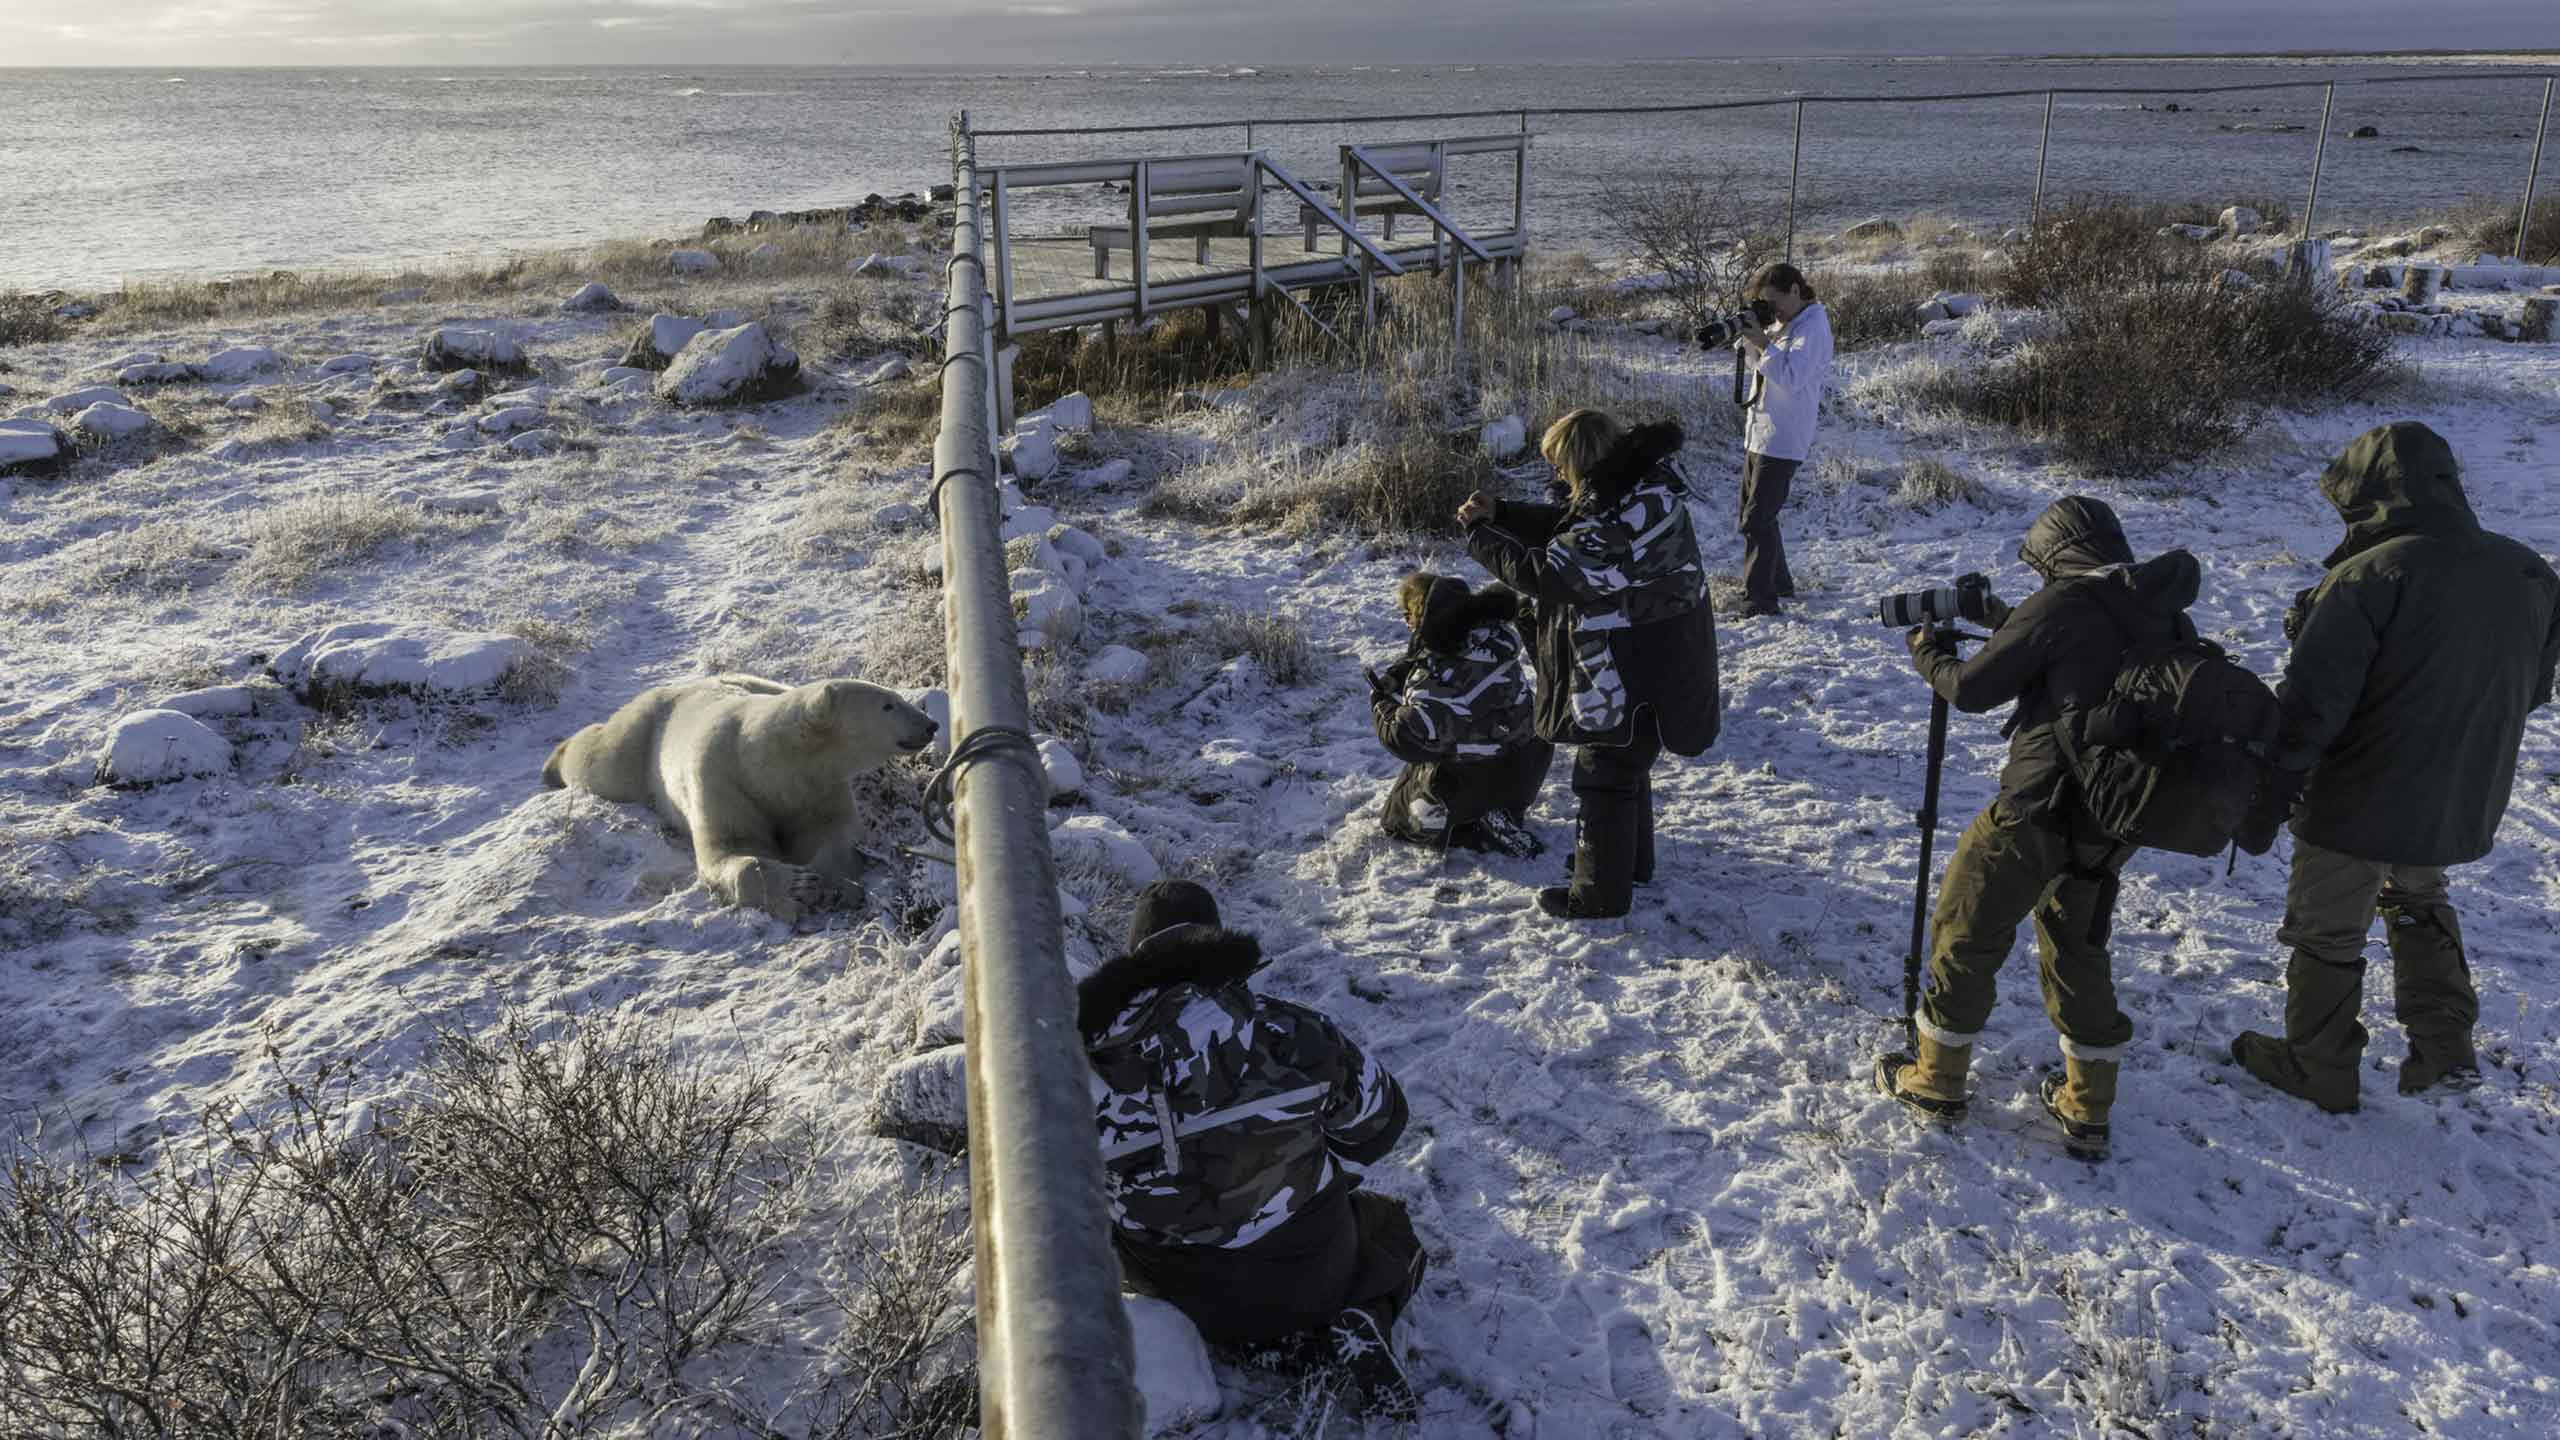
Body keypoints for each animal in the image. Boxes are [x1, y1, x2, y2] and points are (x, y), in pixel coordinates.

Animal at [542, 671, 942, 917]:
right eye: (887, 704)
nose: (931, 724)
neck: (766, 758)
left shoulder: (814, 786)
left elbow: (834, 834)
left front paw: (827, 881)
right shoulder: (724, 780)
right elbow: (730, 848)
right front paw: (795, 886)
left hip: (759, 682)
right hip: (643, 736)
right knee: (602, 760)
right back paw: (552, 764)